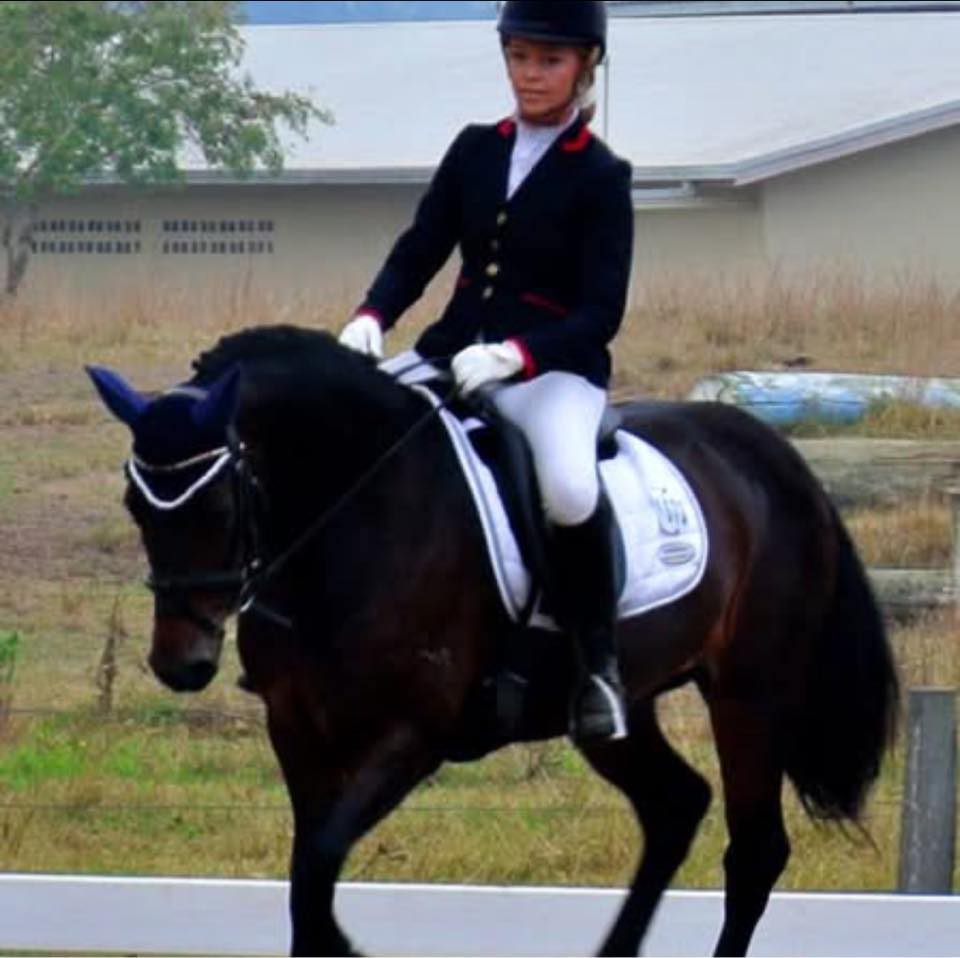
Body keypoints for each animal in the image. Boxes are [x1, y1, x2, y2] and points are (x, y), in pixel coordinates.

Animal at [87, 325, 899, 957]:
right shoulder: (299, 731)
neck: (358, 511)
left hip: (750, 693)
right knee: (674, 806)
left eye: (221, 504)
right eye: (134, 502)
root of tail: (774, 455)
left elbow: (316, 869)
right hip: (617, 707)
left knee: (754, 850)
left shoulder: (414, 733)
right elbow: (304, 881)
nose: (180, 664)